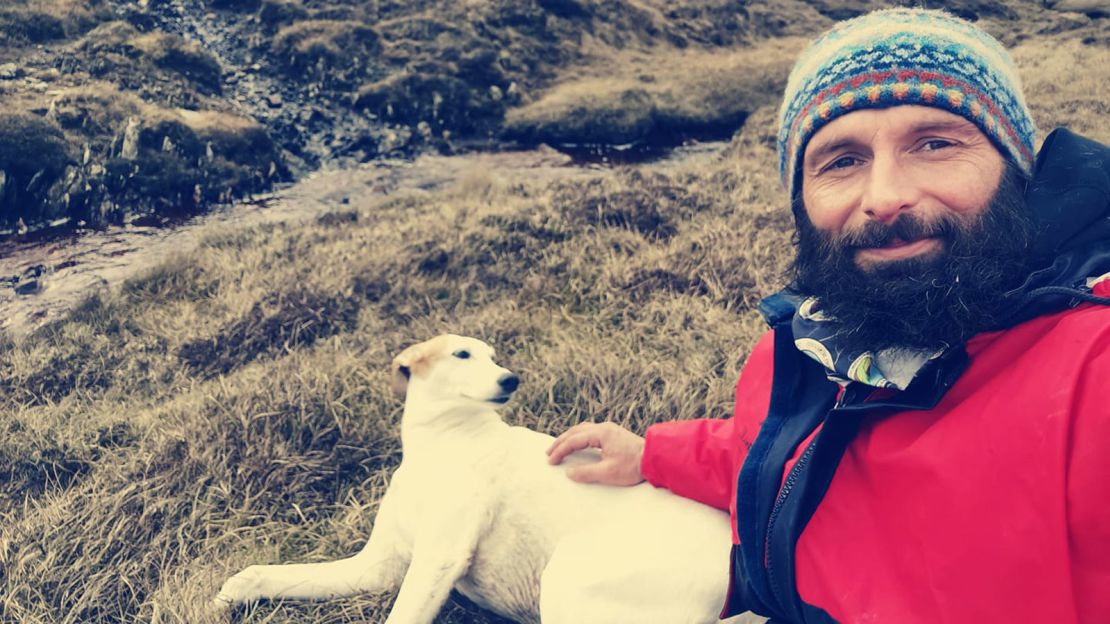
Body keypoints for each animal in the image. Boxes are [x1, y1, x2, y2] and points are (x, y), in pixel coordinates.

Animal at [218, 335, 763, 621]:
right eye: (462, 355)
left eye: (493, 356)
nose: (510, 379)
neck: (442, 445)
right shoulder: (379, 565)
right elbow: (278, 574)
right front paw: (235, 591)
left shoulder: (439, 557)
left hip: (570, 581)